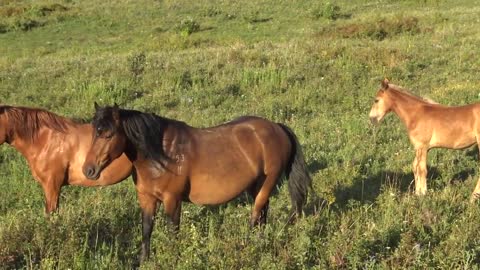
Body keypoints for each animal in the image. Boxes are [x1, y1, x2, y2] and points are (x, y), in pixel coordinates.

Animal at [83, 102, 312, 260]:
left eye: (108, 134)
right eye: (94, 133)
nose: (88, 170)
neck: (162, 154)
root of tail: (277, 127)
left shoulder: (172, 200)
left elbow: (172, 231)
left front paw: (173, 258)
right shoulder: (146, 198)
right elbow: (146, 230)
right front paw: (143, 260)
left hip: (267, 183)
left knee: (256, 215)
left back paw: (247, 245)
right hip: (257, 186)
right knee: (263, 214)